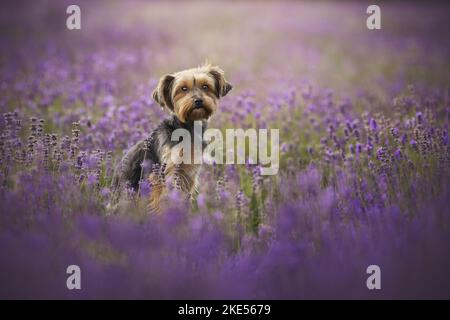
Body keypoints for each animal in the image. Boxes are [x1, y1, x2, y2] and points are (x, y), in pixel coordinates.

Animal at [111, 63, 232, 212]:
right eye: (183, 89)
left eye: (205, 86)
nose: (198, 100)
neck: (188, 127)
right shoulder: (164, 172)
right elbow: (161, 199)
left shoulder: (188, 172)